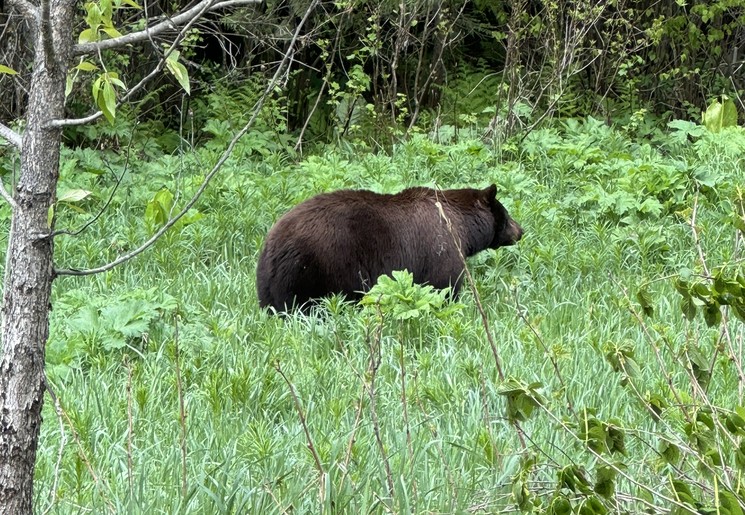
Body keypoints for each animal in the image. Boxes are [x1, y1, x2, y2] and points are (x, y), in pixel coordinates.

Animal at [256, 186, 524, 314]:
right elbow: (443, 287)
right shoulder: (443, 248)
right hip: (313, 270)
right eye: (507, 214)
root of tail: (273, 244)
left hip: (269, 282)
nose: (520, 230)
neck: (462, 225)